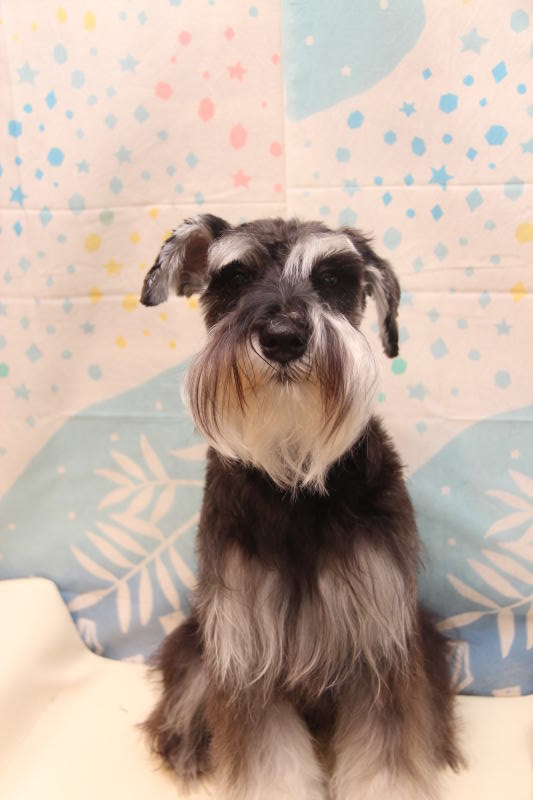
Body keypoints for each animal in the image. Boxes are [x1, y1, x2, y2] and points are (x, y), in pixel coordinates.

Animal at [140, 215, 462, 799]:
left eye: (332, 278)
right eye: (234, 278)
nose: (283, 337)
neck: (293, 476)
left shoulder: (381, 646)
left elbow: (387, 759)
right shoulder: (245, 652)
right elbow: (270, 764)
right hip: (198, 641)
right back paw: (186, 746)